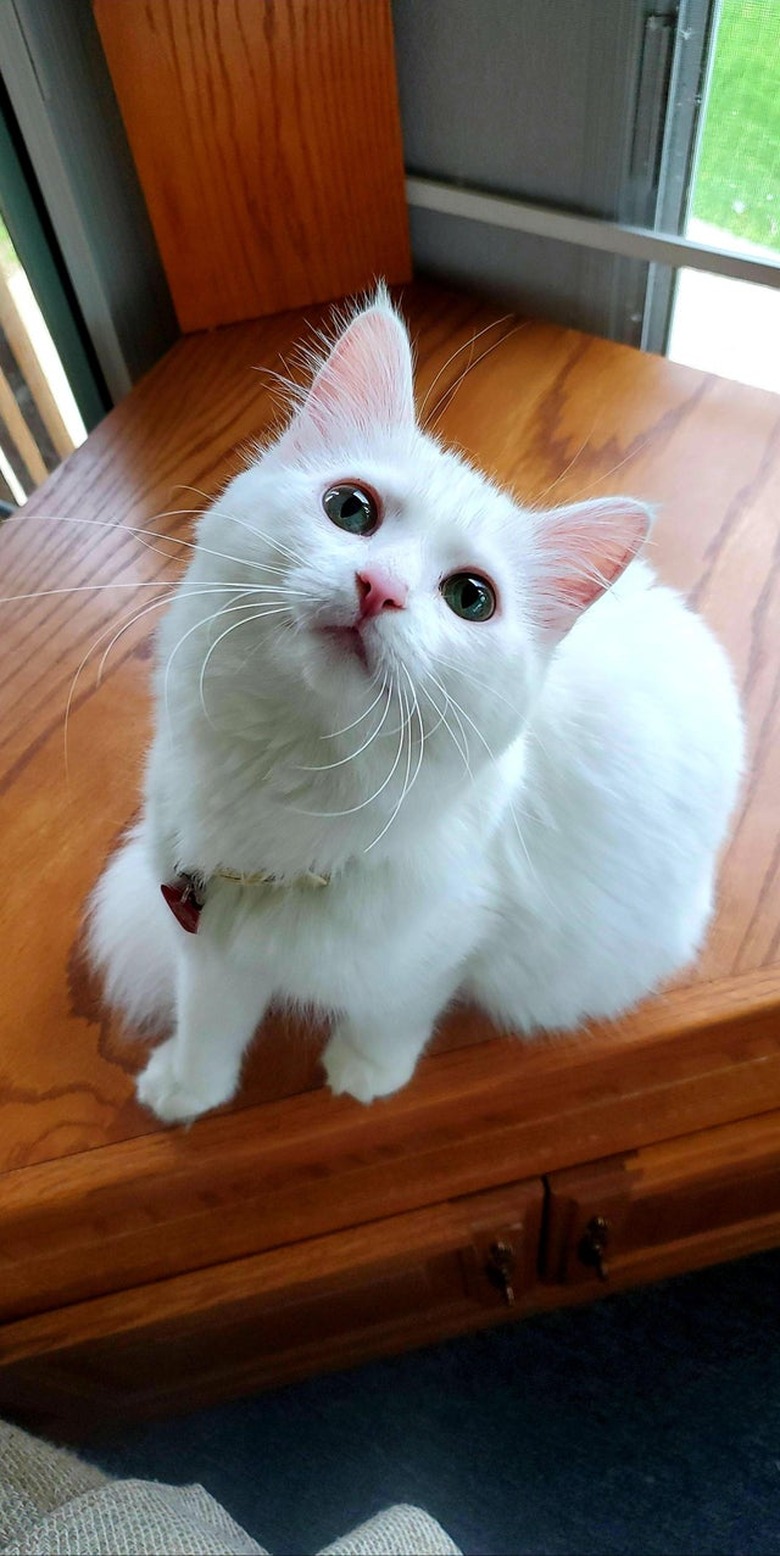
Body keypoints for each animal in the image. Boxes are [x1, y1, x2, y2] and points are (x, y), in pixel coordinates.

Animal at [85, 289, 741, 1120]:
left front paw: (364, 1074)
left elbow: (396, 1014)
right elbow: (209, 1020)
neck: (286, 784)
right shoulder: (210, 942)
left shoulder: (452, 943)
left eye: (471, 599)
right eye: (349, 510)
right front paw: (186, 1092)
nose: (380, 590)